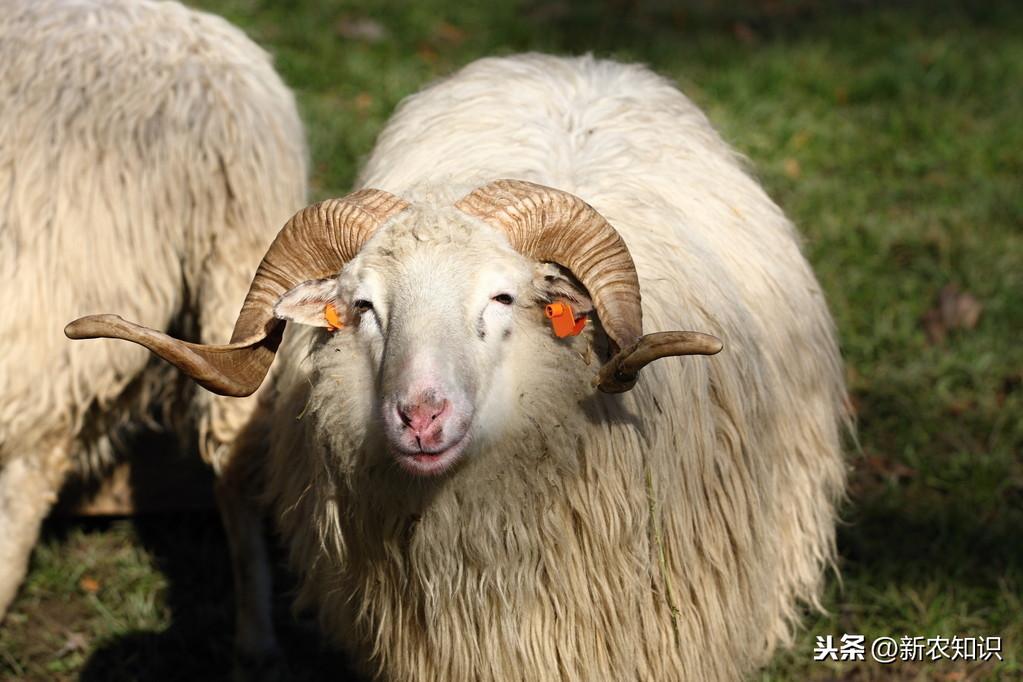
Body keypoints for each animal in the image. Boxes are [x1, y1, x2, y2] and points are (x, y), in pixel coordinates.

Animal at [0, 0, 302, 666]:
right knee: (239, 451)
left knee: (34, 462)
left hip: (62, 266)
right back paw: (256, 640)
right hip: (240, 260)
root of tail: (216, 105)